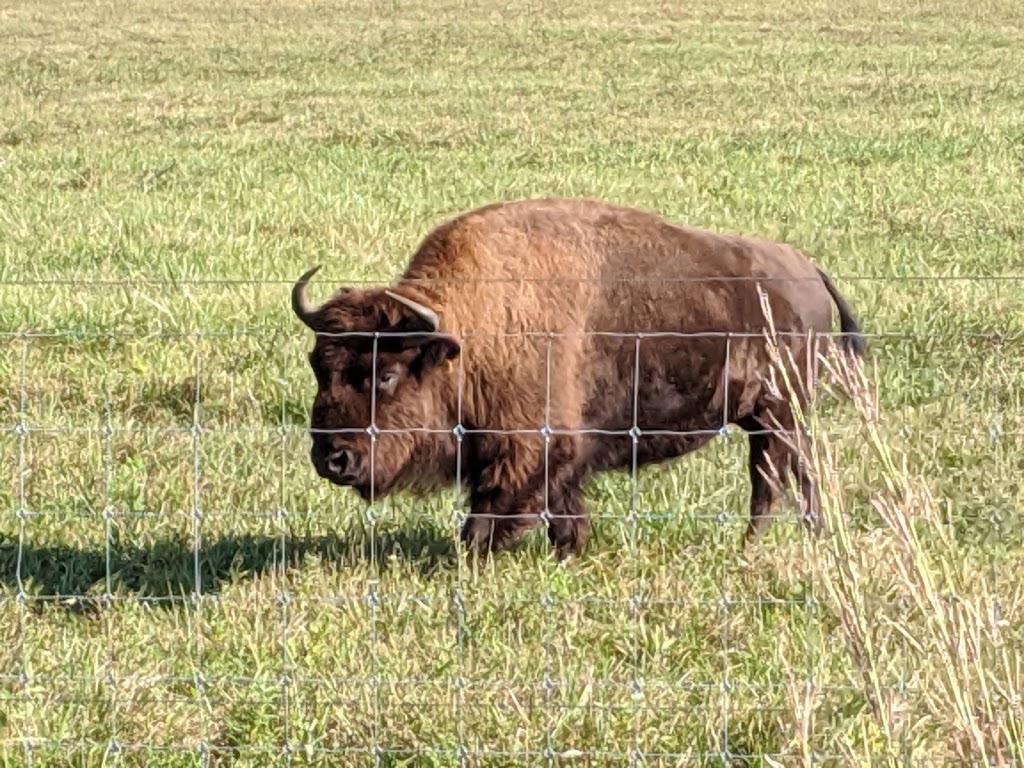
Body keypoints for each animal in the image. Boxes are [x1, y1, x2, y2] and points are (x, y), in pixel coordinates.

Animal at [290, 196, 864, 561]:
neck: (469, 330)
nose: (332, 458)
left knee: (770, 479)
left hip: (777, 414)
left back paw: (755, 547)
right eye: (320, 367)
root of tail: (809, 272)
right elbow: (559, 508)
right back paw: (804, 537)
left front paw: (474, 558)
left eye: (385, 374)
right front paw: (568, 552)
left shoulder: (529, 449)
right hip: (769, 418)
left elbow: (491, 513)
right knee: (796, 473)